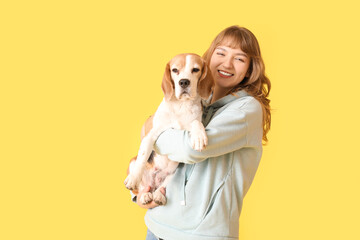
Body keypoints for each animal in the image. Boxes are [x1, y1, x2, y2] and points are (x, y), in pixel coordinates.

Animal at [124, 53, 214, 205]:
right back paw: (144, 195)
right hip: (132, 162)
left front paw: (199, 137)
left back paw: (158, 195)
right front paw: (134, 178)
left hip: (175, 172)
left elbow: (196, 122)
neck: (181, 105)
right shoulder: (151, 134)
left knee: (163, 186)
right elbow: (144, 154)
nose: (184, 82)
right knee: (142, 187)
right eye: (175, 70)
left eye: (195, 69)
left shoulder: (191, 123)